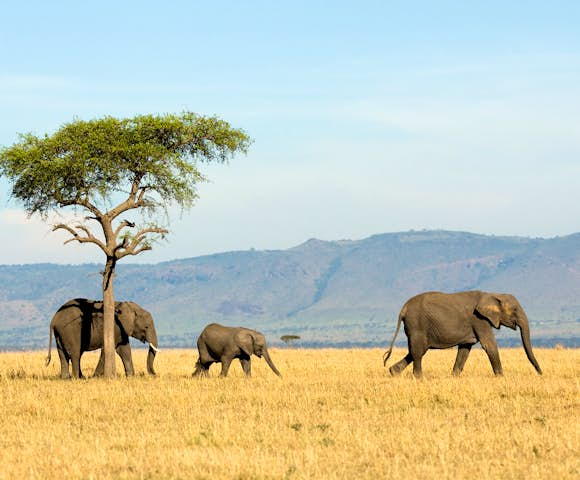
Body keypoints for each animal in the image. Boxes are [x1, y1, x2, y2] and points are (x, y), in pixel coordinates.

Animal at [382, 288, 540, 378]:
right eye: (514, 310)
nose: (540, 373)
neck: (492, 295)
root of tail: (403, 309)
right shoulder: (479, 319)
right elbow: (489, 345)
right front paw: (501, 378)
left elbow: (465, 349)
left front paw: (454, 377)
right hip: (417, 324)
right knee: (418, 351)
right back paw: (419, 378)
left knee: (416, 351)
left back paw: (393, 372)